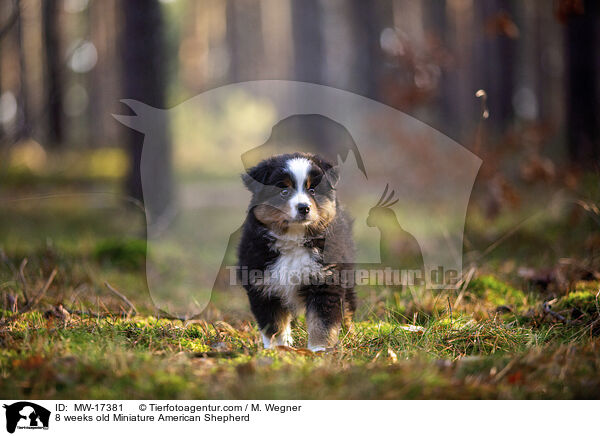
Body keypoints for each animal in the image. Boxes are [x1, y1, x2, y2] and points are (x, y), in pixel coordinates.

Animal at [237, 152, 354, 350]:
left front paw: (318, 350)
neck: (294, 240)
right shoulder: (263, 287)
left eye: (312, 190)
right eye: (283, 191)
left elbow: (322, 323)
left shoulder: (326, 281)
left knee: (348, 307)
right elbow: (274, 325)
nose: (304, 208)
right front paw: (278, 349)